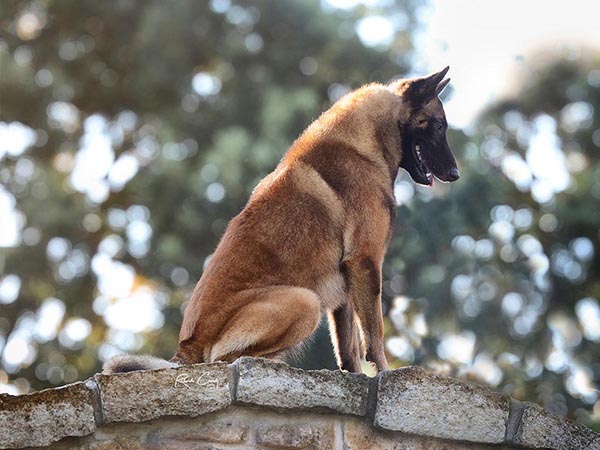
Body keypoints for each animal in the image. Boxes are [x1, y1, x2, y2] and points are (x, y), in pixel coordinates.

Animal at [103, 67, 460, 374]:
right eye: (439, 126)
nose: (456, 174)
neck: (365, 140)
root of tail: (185, 350)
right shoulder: (365, 263)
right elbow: (374, 335)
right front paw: (385, 373)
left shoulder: (345, 286)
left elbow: (349, 349)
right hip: (304, 301)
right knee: (223, 359)